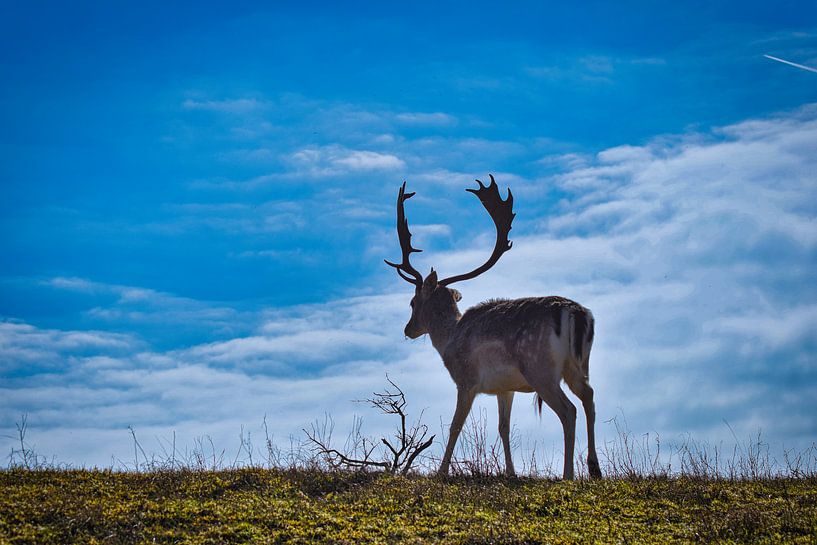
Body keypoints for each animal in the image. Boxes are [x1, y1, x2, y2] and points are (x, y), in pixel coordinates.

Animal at [385, 175, 601, 480]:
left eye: (413, 302)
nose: (408, 329)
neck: (449, 339)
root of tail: (576, 313)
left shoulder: (466, 380)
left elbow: (455, 425)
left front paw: (441, 472)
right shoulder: (504, 387)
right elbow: (503, 427)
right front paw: (510, 472)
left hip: (540, 368)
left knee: (568, 410)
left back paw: (568, 474)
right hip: (579, 365)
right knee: (589, 398)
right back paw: (595, 469)